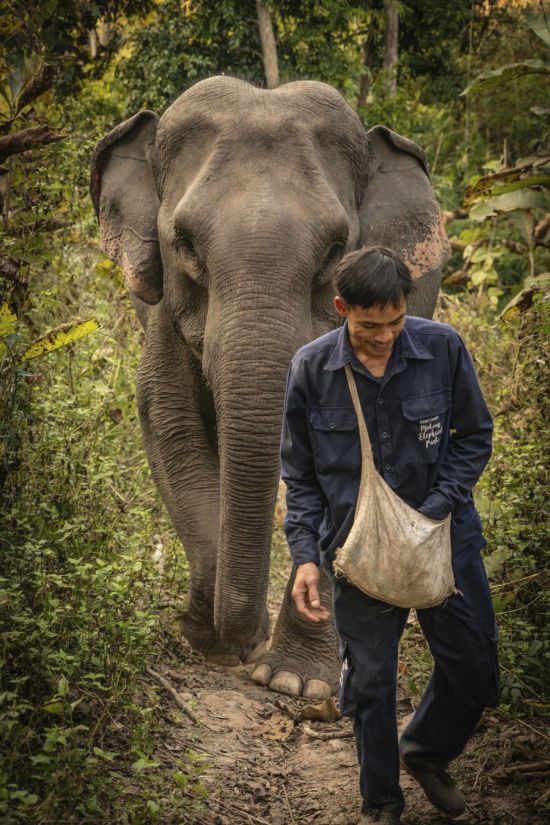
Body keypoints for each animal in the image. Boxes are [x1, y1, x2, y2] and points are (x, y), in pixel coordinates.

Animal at [90, 76, 450, 699]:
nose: (236, 640)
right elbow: (171, 423)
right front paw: (210, 637)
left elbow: (352, 468)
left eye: (336, 251)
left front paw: (296, 685)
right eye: (185, 243)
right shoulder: (164, 316)